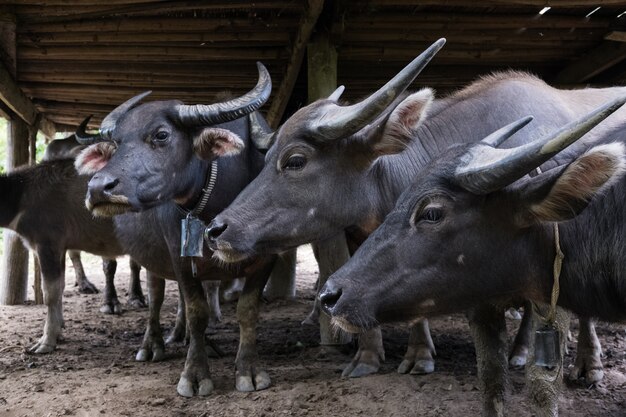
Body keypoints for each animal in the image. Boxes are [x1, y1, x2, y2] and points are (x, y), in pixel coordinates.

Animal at [73, 63, 280, 394]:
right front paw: (195, 374)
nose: (98, 188)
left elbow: (247, 310)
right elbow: (197, 312)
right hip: (154, 261)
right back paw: (153, 344)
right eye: (117, 143)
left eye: (161, 134)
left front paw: (249, 370)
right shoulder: (178, 256)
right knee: (156, 298)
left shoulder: (268, 257)